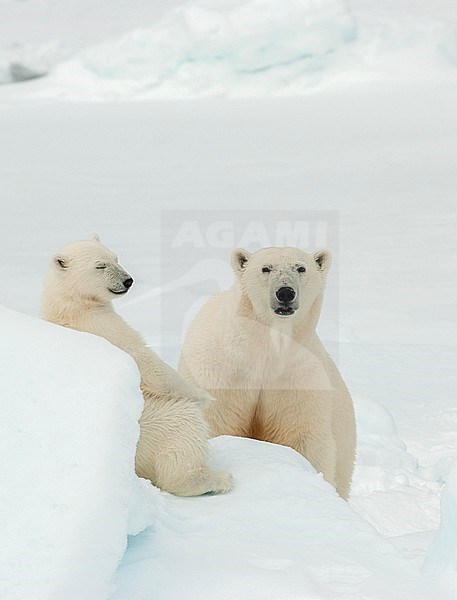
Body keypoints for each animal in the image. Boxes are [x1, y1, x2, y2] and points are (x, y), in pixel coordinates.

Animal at [41, 236, 232, 496]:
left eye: (115, 258)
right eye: (100, 265)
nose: (128, 280)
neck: (70, 307)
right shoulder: (103, 327)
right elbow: (146, 362)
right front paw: (203, 397)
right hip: (149, 425)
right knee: (184, 425)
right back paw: (215, 479)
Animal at [179, 246, 356, 500]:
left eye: (301, 268)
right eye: (266, 268)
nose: (285, 293)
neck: (264, 351)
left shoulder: (295, 379)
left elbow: (300, 436)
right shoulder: (223, 373)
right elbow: (218, 421)